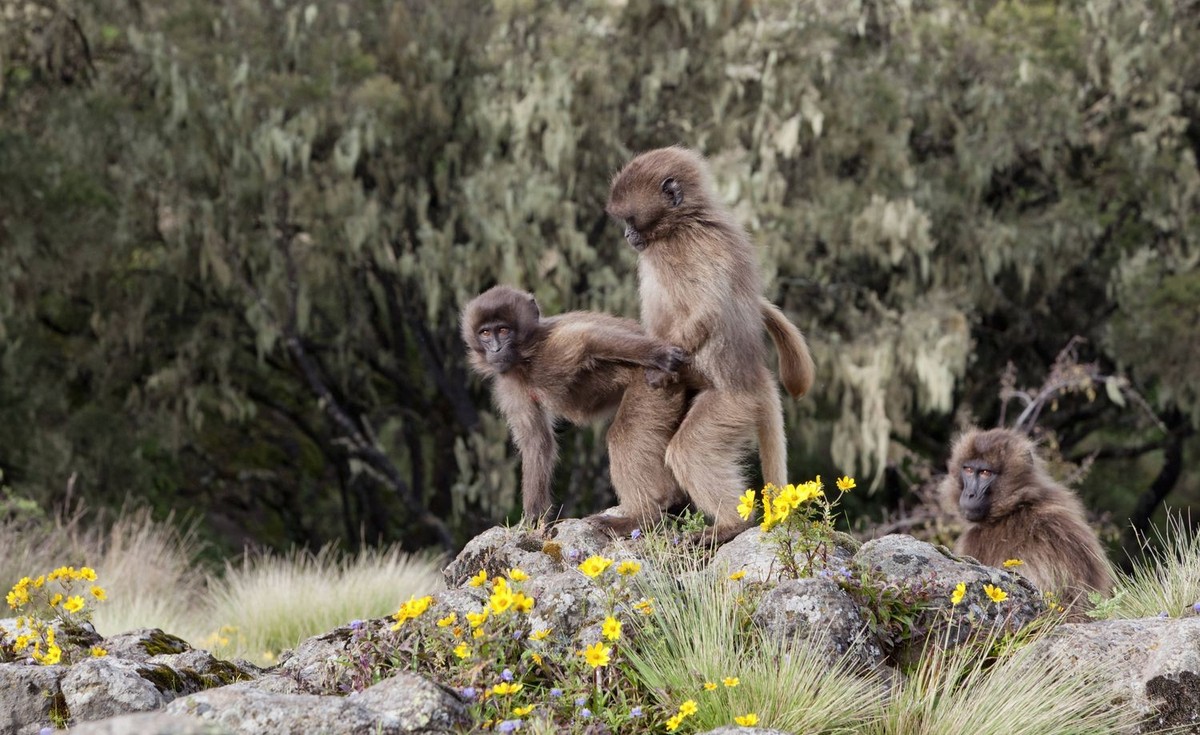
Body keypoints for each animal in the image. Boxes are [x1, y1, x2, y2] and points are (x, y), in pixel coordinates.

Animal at [462, 285, 690, 523]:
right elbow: (536, 441)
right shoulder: (510, 384)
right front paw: (535, 517)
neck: (526, 358)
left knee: (624, 433)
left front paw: (660, 354)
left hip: (653, 383)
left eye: (503, 330)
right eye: (486, 333)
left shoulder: (549, 354)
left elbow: (588, 341)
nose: (495, 350)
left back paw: (646, 514)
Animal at [597, 145, 816, 544]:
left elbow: (708, 307)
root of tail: (757, 376)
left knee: (690, 450)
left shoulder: (687, 249)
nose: (627, 234)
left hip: (733, 403)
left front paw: (661, 363)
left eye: (631, 218)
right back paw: (645, 513)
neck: (681, 223)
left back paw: (727, 525)